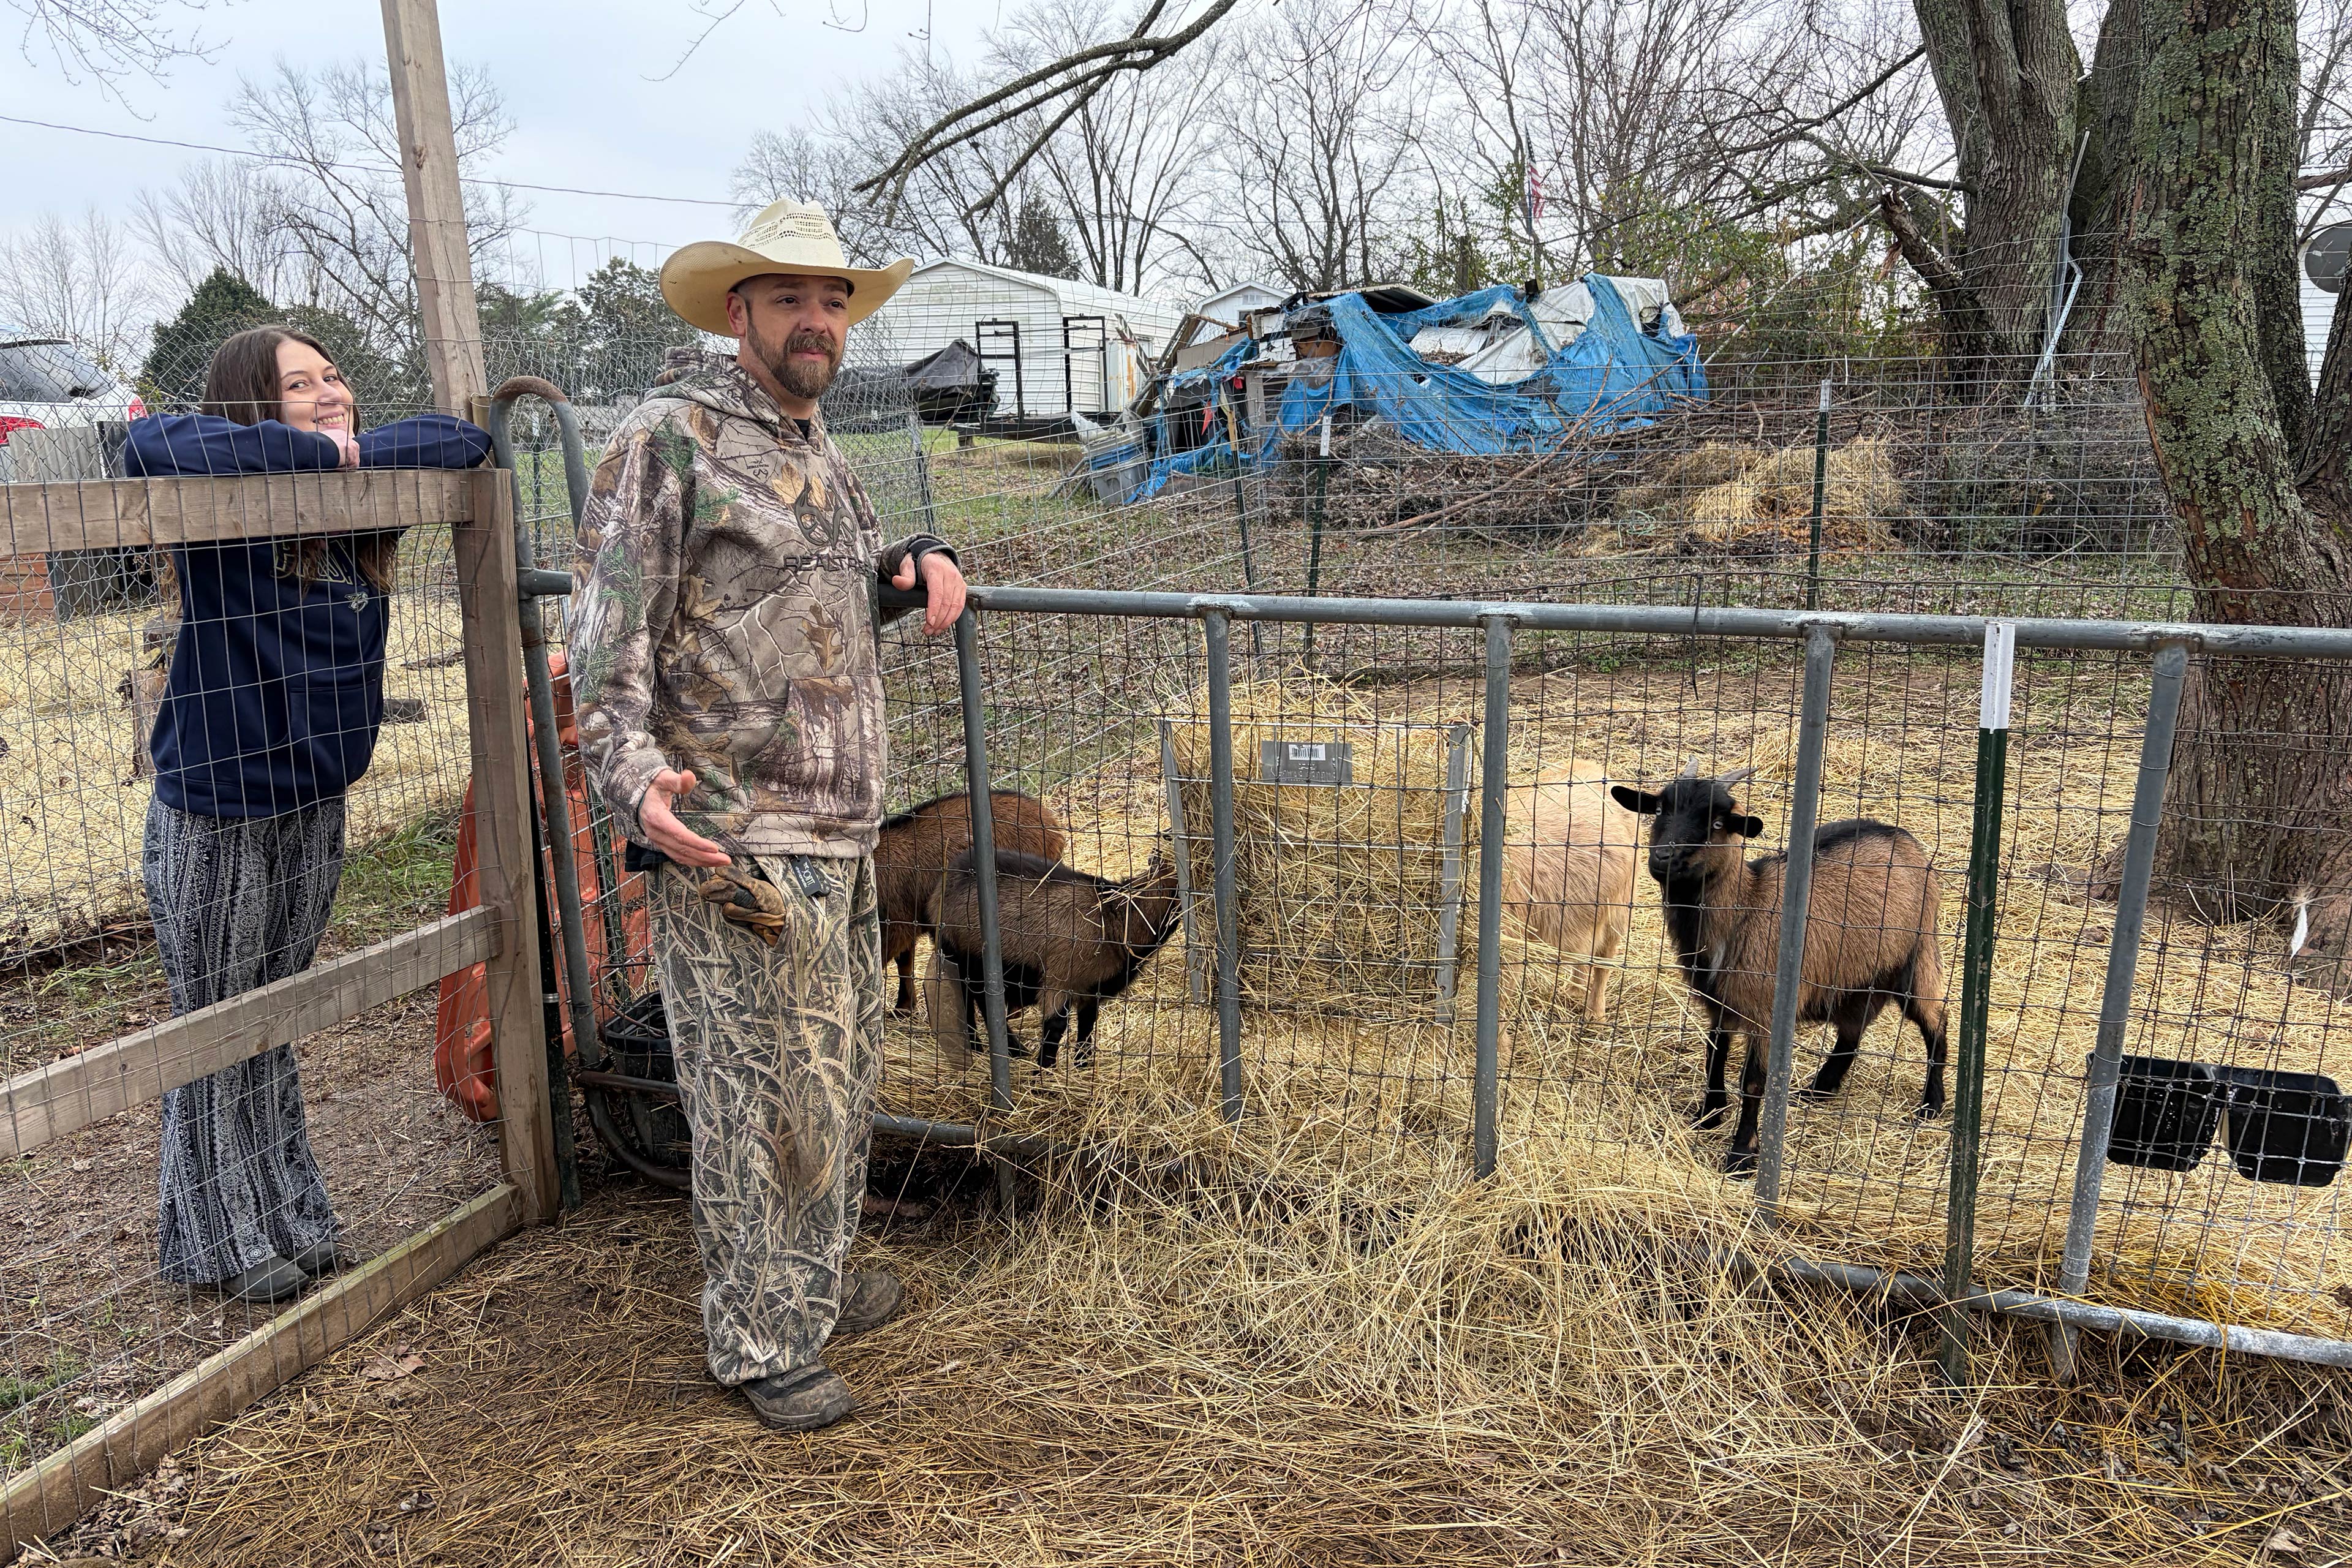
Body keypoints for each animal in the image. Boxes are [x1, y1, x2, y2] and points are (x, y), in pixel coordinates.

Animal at [925, 847, 1179, 1069]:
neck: (1115, 919)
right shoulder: (1059, 978)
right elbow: (1055, 1028)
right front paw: (1043, 1074)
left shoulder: (1090, 990)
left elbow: (1087, 1024)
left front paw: (1082, 1065)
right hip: (956, 954)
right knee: (969, 1000)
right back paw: (984, 1047)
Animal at [1611, 764, 1948, 1175]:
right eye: (1660, 809)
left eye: (1719, 823)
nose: (1664, 858)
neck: (1744, 910)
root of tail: (1904, 836)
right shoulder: (1719, 1002)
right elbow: (1714, 1056)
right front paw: (1708, 1116)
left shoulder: (1765, 1009)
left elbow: (1754, 1081)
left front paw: (1741, 1155)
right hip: (1857, 976)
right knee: (1852, 1031)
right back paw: (1818, 1090)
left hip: (1916, 955)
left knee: (1935, 1020)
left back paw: (1931, 1105)